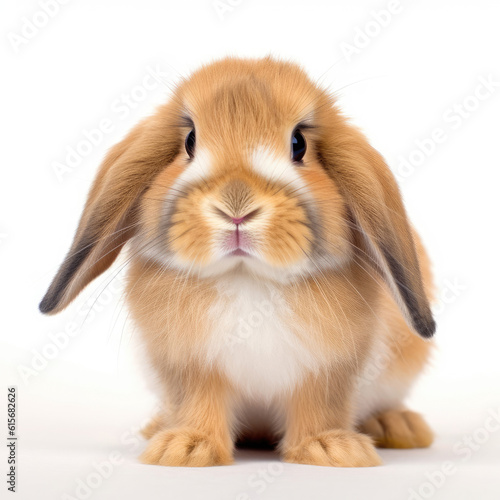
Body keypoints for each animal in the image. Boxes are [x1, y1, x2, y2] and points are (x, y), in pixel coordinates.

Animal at [40, 56, 434, 466]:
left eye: (299, 144)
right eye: (189, 141)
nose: (236, 206)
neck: (247, 278)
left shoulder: (329, 369)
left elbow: (319, 406)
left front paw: (331, 449)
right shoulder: (190, 366)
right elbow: (199, 402)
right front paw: (184, 448)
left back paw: (399, 427)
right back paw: (158, 428)